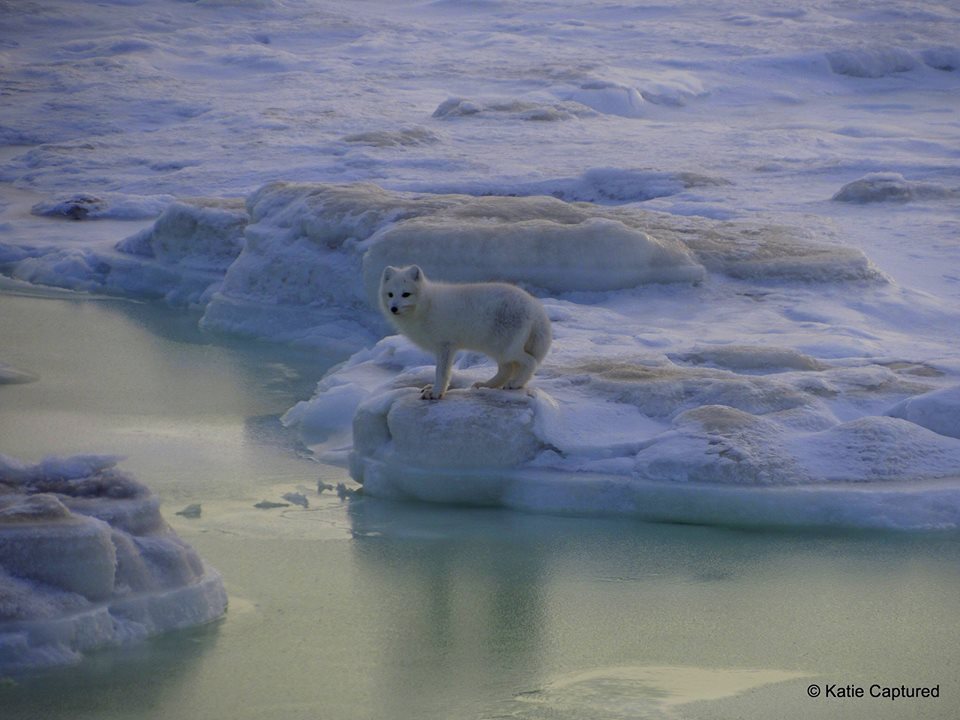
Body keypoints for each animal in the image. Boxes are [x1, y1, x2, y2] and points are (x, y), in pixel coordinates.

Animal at [379, 265, 552, 400]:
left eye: (406, 294)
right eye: (390, 294)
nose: (393, 308)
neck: (425, 305)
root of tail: (535, 307)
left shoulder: (445, 345)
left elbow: (441, 372)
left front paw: (436, 392)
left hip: (506, 349)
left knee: (530, 362)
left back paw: (515, 384)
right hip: (498, 349)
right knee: (506, 369)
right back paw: (486, 385)